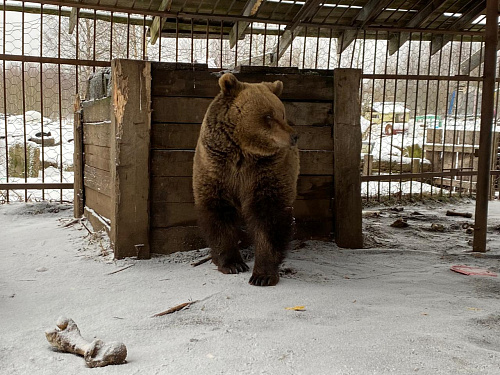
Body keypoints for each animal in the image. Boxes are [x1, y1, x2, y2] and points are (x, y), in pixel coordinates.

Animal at [193, 72, 298, 286]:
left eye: (282, 113)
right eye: (268, 116)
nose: (294, 136)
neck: (242, 152)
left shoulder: (266, 172)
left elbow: (269, 217)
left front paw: (262, 274)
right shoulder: (217, 169)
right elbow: (219, 214)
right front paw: (233, 264)